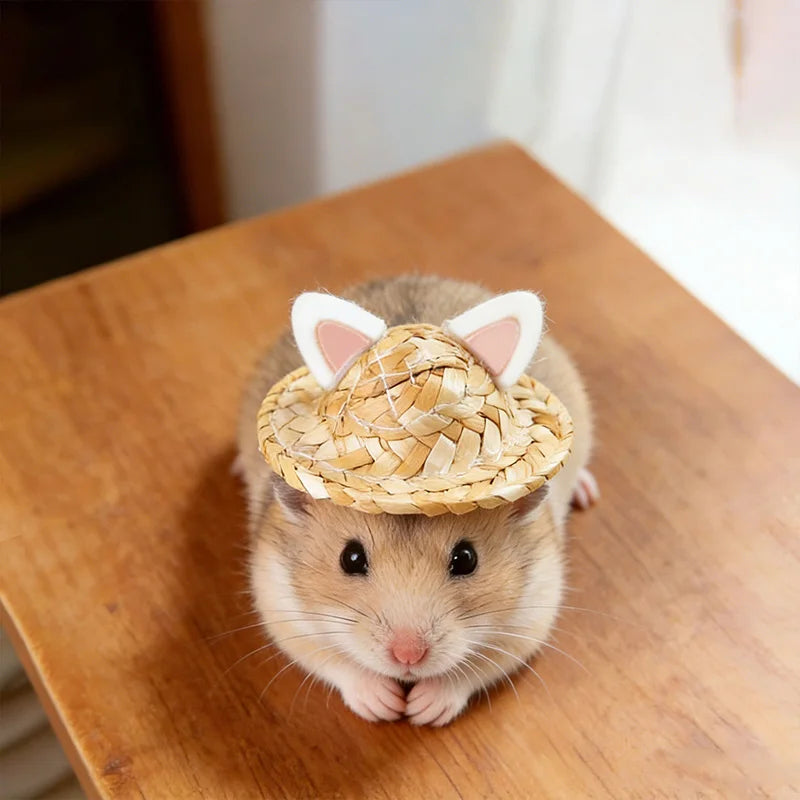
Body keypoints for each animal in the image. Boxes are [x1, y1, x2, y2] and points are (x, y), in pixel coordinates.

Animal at [236, 275, 597, 726]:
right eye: (350, 559)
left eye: (466, 559)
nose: (408, 657)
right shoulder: (282, 607)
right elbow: (338, 663)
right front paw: (387, 707)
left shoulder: (531, 616)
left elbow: (472, 670)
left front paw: (422, 710)